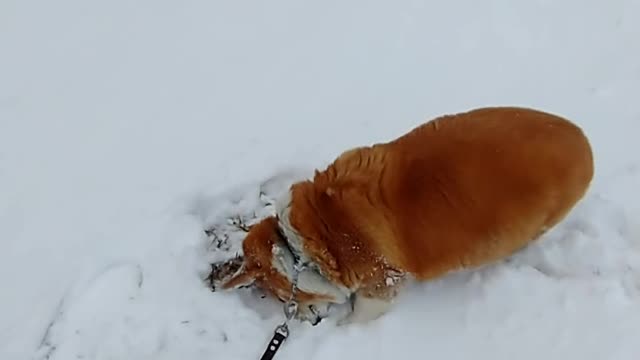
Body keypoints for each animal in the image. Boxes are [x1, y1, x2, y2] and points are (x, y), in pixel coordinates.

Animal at [211, 105, 596, 324]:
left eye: (280, 298)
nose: (312, 322)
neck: (301, 247)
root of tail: (583, 140)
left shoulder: (382, 285)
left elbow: (360, 316)